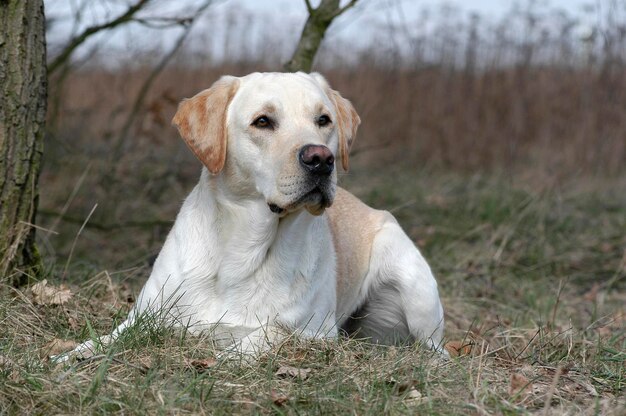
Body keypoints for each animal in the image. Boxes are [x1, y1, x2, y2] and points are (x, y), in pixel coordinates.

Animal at [58, 73, 442, 360]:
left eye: (324, 120)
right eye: (263, 121)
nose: (321, 158)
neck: (243, 250)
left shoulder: (314, 332)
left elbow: (265, 335)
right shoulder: (144, 317)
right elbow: (98, 343)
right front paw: (67, 357)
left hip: (411, 281)